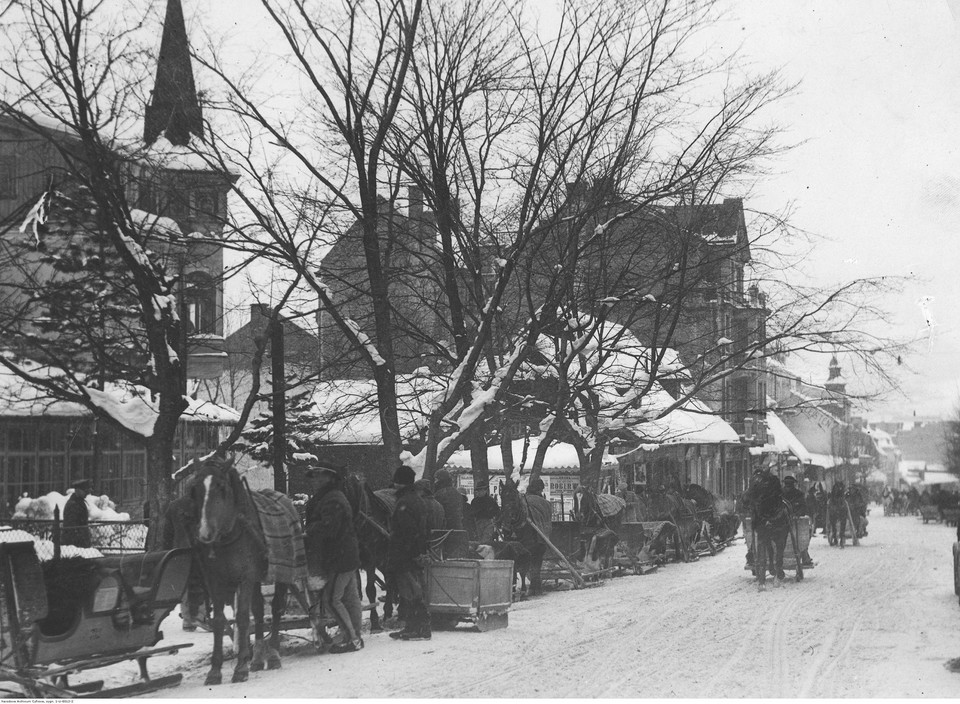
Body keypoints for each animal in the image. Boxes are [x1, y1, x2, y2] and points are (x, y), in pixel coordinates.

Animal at [188, 454, 318, 684]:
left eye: (222, 487)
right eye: (194, 489)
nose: (204, 532)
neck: (230, 534)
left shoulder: (245, 577)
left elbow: (242, 617)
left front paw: (240, 667)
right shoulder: (215, 580)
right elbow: (220, 619)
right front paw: (215, 670)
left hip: (282, 572)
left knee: (275, 608)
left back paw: (273, 654)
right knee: (258, 610)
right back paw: (257, 658)